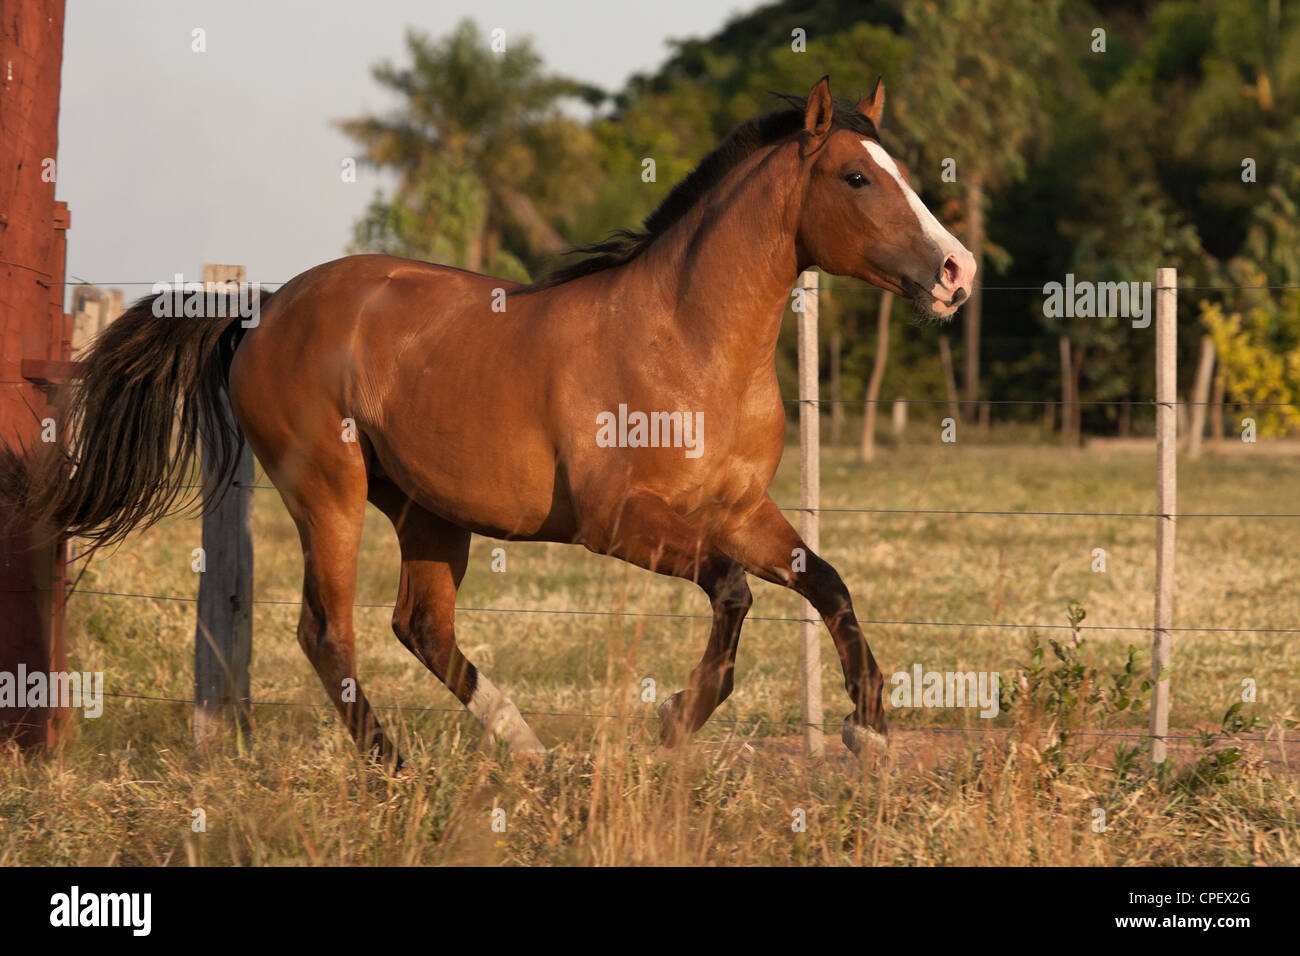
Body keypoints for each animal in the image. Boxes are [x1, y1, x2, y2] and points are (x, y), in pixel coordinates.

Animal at [24, 76, 974, 768]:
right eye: (858, 177)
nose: (956, 272)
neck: (687, 341)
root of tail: (266, 307)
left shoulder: (740, 511)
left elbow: (827, 582)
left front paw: (867, 727)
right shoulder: (619, 522)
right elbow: (735, 592)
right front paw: (675, 719)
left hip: (428, 513)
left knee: (421, 627)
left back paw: (526, 750)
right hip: (328, 493)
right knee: (329, 633)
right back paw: (394, 766)